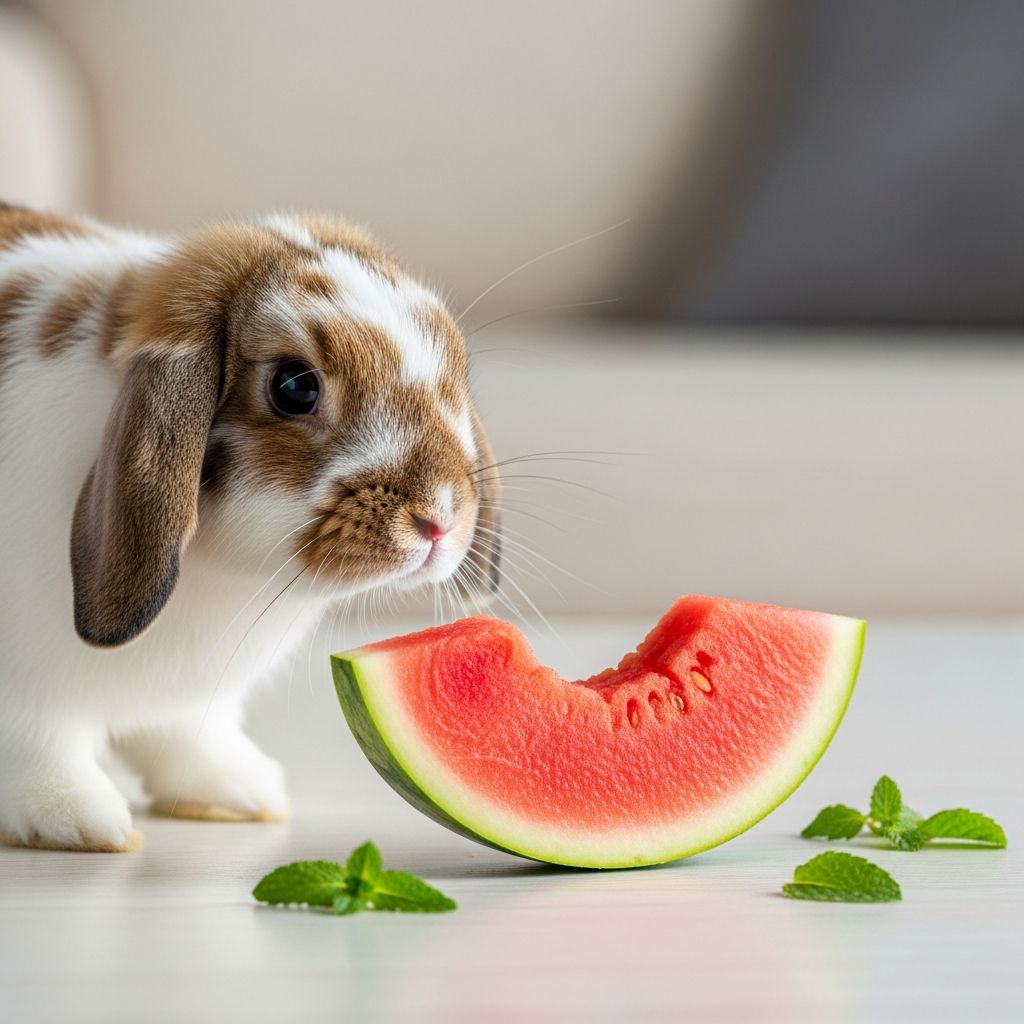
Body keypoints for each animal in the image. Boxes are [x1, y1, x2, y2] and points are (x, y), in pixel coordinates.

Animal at [0, 202, 501, 852]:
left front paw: (241, 791)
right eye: (294, 387)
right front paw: (79, 819)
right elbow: (37, 746)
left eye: (457, 367)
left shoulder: (188, 707)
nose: (439, 518)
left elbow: (186, 737)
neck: (213, 580)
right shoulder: (21, 695)